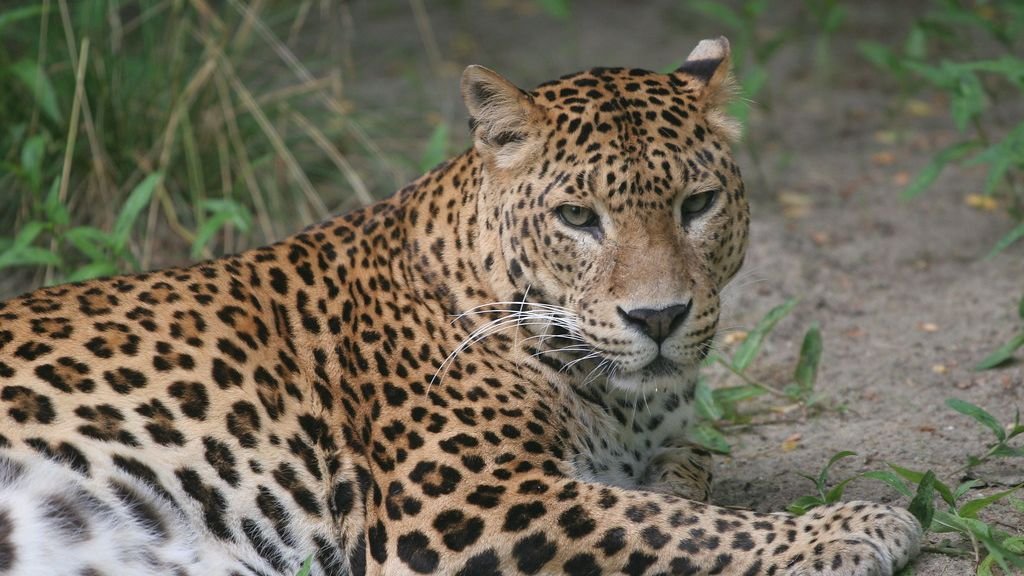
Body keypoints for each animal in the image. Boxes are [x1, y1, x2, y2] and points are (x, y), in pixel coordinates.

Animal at [0, 37, 921, 575]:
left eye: (697, 205)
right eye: (578, 218)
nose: (657, 319)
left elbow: (678, 485)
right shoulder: (460, 502)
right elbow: (670, 526)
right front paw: (853, 526)